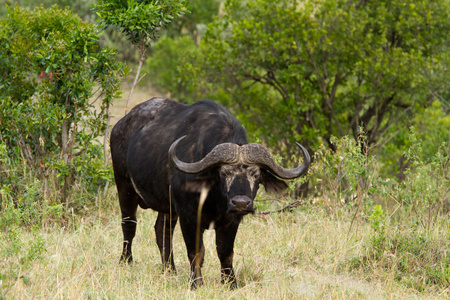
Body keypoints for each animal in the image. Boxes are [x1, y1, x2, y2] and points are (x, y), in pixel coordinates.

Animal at [110, 98, 312, 288]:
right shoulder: (189, 217)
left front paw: (230, 283)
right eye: (224, 173)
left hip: (167, 207)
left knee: (162, 230)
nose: (241, 203)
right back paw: (126, 261)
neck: (215, 200)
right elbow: (196, 251)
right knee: (129, 224)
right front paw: (196, 283)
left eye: (256, 175)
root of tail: (119, 126)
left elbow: (225, 252)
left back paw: (169, 269)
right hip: (124, 186)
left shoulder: (231, 220)